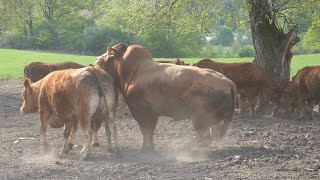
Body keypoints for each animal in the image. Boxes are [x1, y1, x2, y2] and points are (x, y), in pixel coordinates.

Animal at [94, 43, 236, 150]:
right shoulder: (153, 113)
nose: (97, 59)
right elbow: (151, 129)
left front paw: (145, 147)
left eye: (109, 53)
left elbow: (145, 129)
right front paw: (150, 146)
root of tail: (227, 82)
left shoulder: (139, 110)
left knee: (204, 136)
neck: (134, 73)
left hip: (200, 118)